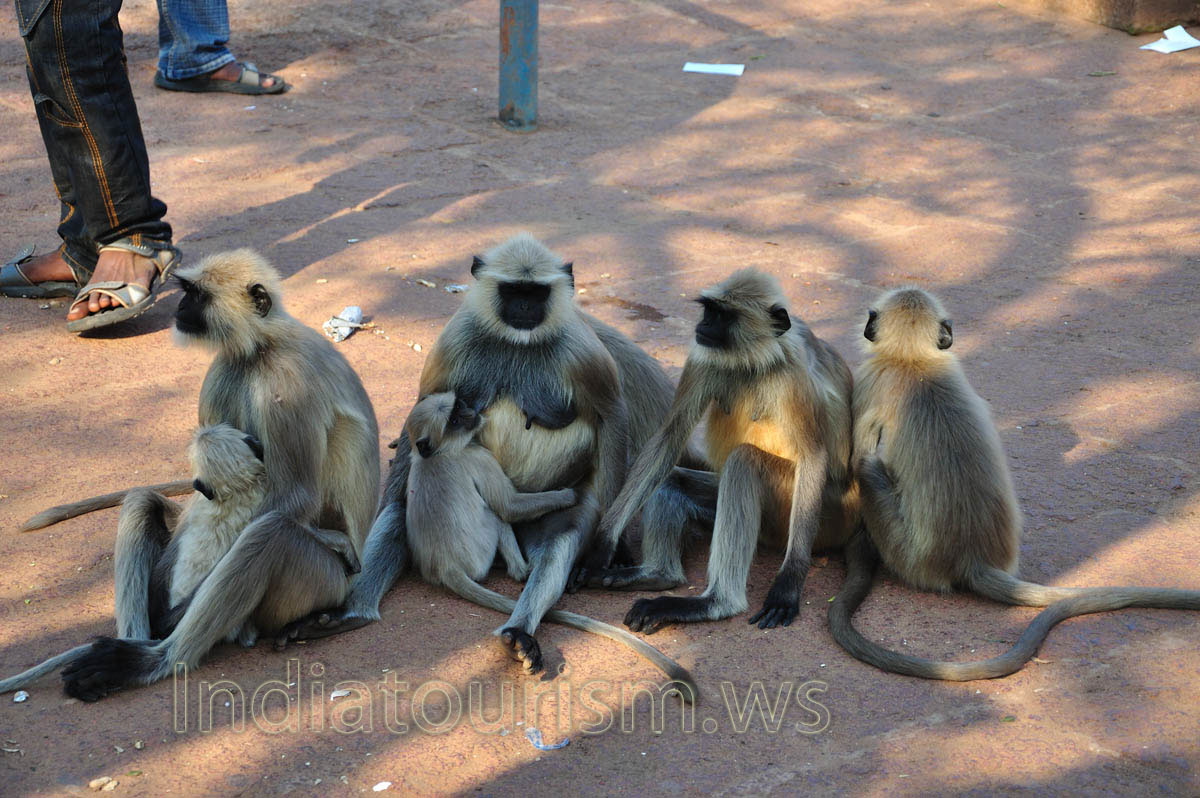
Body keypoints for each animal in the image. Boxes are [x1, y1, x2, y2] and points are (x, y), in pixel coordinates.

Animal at [53, 249, 379, 701]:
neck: (261, 348)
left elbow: (296, 498)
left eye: (196, 295)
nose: (178, 307)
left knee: (270, 532)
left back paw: (151, 661)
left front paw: (173, 617)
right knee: (141, 501)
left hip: (327, 583)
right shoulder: (225, 368)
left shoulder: (287, 383)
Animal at [402, 392, 696, 690]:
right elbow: (509, 506)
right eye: (453, 420)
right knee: (497, 515)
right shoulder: (477, 456)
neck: (436, 455)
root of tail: (444, 568)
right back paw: (521, 570)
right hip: (481, 546)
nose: (470, 413)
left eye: (458, 407)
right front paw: (568, 495)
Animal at [573, 268, 856, 634]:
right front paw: (602, 545)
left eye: (724, 316)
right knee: (671, 479)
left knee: (744, 461)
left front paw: (789, 582)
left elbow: (813, 456)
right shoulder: (702, 355)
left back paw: (714, 603)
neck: (755, 359)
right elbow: (670, 437)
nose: (704, 324)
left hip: (822, 515)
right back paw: (657, 576)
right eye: (709, 310)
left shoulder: (791, 374)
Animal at [828, 287, 1200, 680]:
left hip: (904, 552)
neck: (913, 361)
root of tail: (971, 559)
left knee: (868, 467)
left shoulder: (869, 379)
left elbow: (856, 458)